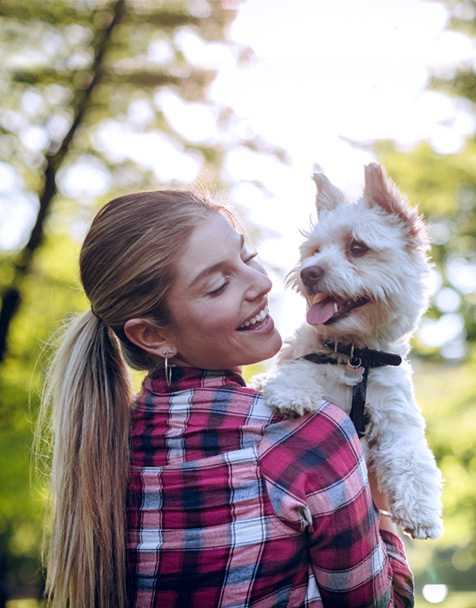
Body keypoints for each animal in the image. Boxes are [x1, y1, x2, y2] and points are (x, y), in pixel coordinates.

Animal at [255, 164, 444, 540]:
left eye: (357, 247)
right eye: (314, 251)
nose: (308, 272)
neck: (355, 355)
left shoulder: (396, 418)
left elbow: (411, 458)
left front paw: (421, 512)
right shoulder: (299, 360)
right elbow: (295, 370)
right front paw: (293, 393)